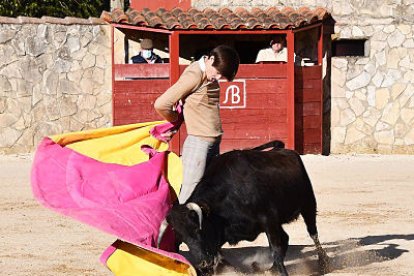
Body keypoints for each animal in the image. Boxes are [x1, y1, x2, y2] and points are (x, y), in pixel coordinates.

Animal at [162, 141, 330, 274]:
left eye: (198, 230)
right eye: (181, 238)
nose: (203, 265)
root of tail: (288, 152)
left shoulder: (268, 219)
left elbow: (275, 248)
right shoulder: (224, 231)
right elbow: (218, 252)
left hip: (308, 204)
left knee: (312, 233)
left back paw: (323, 264)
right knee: (286, 238)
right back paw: (271, 269)